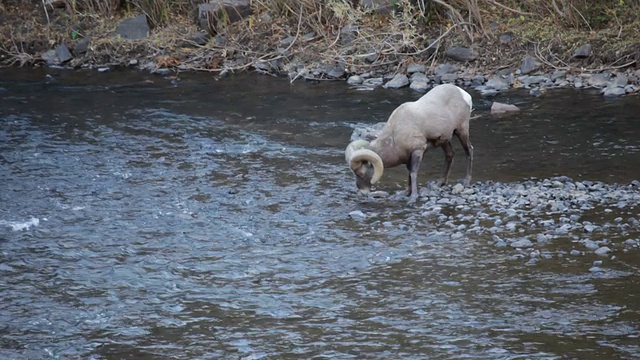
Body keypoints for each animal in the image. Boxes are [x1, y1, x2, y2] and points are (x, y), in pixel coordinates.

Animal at [344, 84, 476, 202]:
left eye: (360, 172)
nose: (362, 192)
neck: (394, 137)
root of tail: (465, 95)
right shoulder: (408, 156)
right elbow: (409, 173)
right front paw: (406, 193)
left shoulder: (417, 151)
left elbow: (413, 173)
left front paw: (413, 197)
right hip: (444, 140)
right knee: (450, 155)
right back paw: (439, 183)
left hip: (462, 131)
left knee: (469, 151)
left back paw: (466, 182)